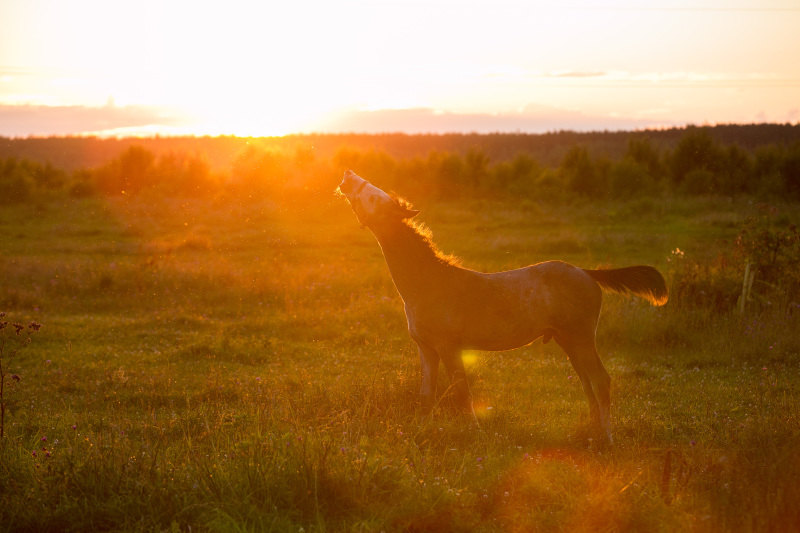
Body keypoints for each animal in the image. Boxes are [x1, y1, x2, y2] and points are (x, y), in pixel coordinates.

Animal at [338, 169, 668, 440]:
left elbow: (462, 392)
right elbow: (426, 396)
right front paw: (420, 430)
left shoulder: (449, 347)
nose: (347, 176)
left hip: (582, 338)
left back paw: (606, 438)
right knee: (587, 382)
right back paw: (591, 432)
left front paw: (474, 432)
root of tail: (587, 273)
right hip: (569, 341)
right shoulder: (427, 350)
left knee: (600, 381)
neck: (428, 282)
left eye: (373, 195)